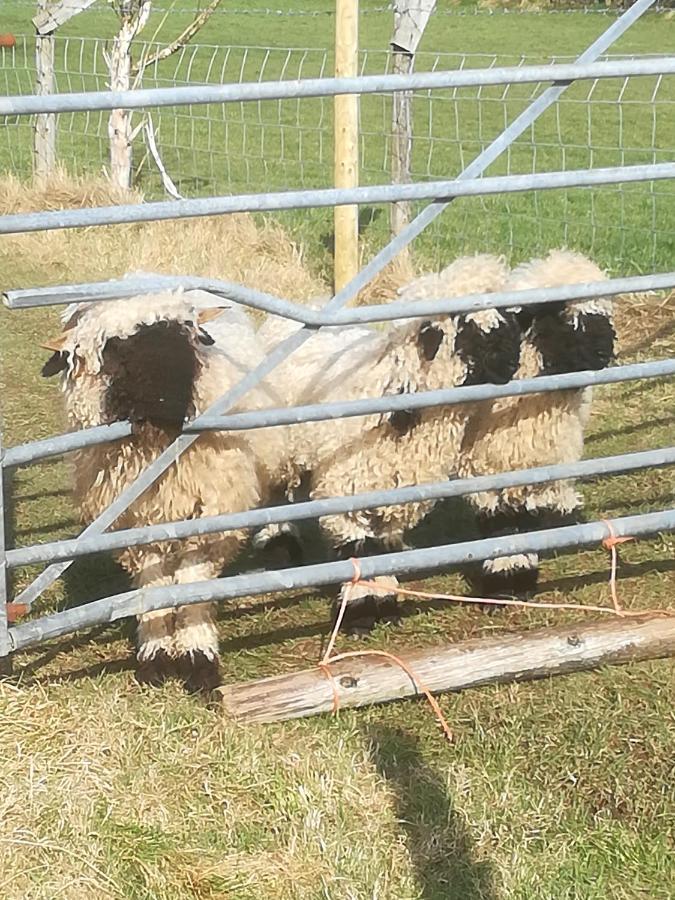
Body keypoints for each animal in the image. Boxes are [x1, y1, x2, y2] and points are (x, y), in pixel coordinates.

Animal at [41, 288, 286, 688]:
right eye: (114, 349)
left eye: (188, 337)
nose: (166, 404)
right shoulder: (135, 518)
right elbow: (153, 583)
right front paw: (156, 654)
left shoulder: (211, 512)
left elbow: (191, 579)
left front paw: (197, 656)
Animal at [258, 253, 524, 632]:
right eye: (466, 327)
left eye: (507, 317)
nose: (511, 362)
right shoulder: (345, 493)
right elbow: (359, 550)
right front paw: (361, 613)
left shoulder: (394, 495)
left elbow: (382, 551)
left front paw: (384, 603)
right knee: (277, 495)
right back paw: (279, 545)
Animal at [460, 248, 616, 596]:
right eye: (560, 315)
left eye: (603, 313)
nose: (604, 354)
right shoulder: (484, 471)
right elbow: (498, 524)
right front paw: (506, 579)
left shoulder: (538, 467)